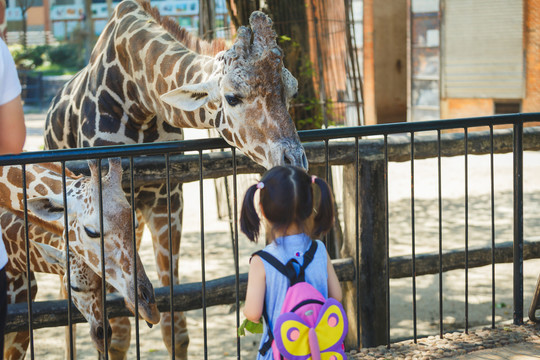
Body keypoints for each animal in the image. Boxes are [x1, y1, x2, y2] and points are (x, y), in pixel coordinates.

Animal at [43, 0, 308, 358]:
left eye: (291, 91)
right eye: (232, 97)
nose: (295, 162)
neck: (138, 98)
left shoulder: (166, 199)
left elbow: (175, 327)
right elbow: (117, 331)